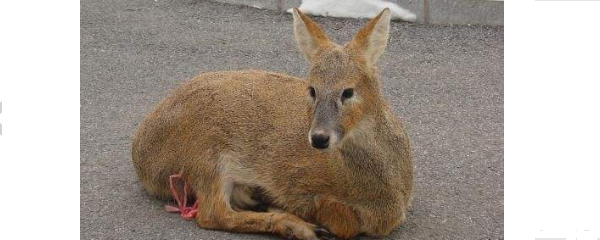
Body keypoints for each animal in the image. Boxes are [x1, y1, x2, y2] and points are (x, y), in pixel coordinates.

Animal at [131, 7, 412, 240]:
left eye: (348, 91)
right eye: (312, 89)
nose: (318, 138)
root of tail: (140, 152)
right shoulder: (294, 181)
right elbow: (345, 223)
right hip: (205, 153)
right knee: (212, 214)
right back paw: (295, 226)